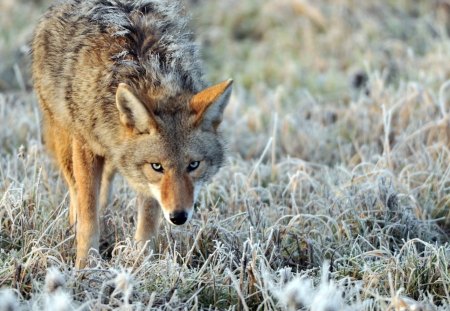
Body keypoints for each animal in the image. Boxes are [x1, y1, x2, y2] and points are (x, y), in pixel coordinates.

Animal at [32, 0, 232, 268]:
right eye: (158, 166)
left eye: (193, 165)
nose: (179, 217)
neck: (147, 72)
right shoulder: (86, 147)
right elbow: (87, 213)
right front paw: (86, 266)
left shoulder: (142, 179)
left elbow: (147, 218)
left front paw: (142, 261)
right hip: (65, 142)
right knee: (76, 191)